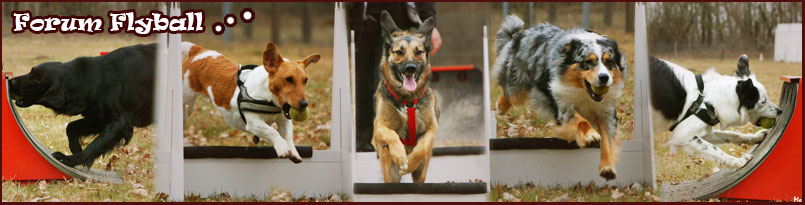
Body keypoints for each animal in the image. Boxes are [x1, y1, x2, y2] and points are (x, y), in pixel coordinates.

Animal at [9, 42, 155, 167]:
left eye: (38, 79)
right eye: (30, 71)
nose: (11, 81)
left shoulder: (119, 122)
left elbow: (94, 145)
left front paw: (71, 159)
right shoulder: (99, 118)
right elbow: (71, 127)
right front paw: (75, 149)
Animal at [182, 42, 320, 163]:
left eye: (305, 80)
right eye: (289, 79)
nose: (304, 104)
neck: (269, 97)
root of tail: (198, 50)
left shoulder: (284, 122)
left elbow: (288, 136)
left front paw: (293, 152)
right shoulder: (254, 123)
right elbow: (272, 131)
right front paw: (282, 147)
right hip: (188, 100)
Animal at [372, 10, 440, 183]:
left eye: (419, 52)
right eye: (399, 52)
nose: (410, 68)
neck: (407, 101)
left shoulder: (431, 129)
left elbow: (421, 148)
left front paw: (410, 163)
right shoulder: (380, 126)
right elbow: (392, 135)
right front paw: (400, 156)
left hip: (421, 173)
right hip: (389, 172)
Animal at [490, 15, 628, 179]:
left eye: (609, 62)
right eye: (588, 62)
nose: (604, 78)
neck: (583, 91)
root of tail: (519, 35)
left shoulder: (605, 112)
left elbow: (608, 141)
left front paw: (607, 167)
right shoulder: (561, 107)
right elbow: (581, 120)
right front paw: (591, 135)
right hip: (517, 84)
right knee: (508, 91)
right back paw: (499, 108)